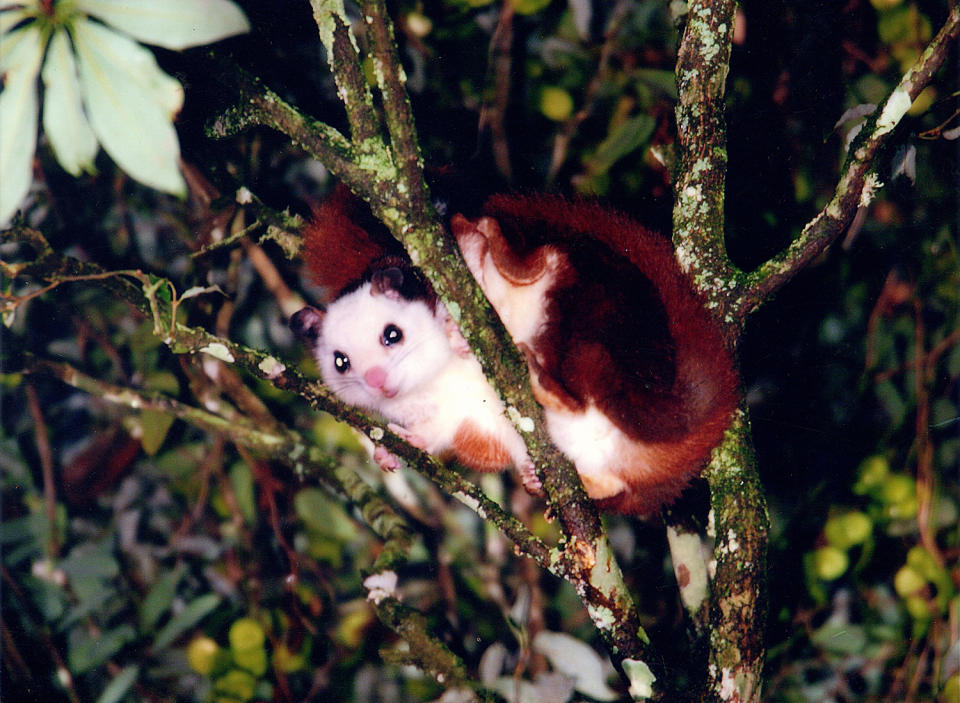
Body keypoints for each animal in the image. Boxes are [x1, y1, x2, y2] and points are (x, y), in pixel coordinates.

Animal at [288, 187, 740, 516]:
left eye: (392, 335)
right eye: (341, 362)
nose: (378, 382)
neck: (434, 376)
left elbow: (474, 250)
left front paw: (456, 333)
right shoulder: (456, 416)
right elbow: (443, 432)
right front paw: (394, 450)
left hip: (592, 325)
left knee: (546, 281)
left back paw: (548, 386)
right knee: (608, 484)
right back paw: (544, 477)